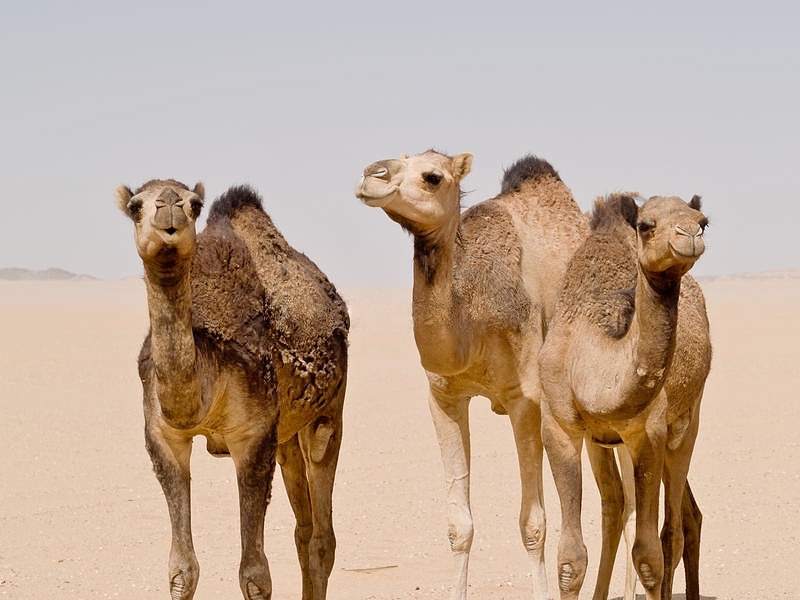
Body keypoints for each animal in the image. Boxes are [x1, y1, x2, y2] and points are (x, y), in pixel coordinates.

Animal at [116, 180, 348, 600]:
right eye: (135, 205)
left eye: (194, 204)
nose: (169, 206)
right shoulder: (163, 436)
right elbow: (181, 569)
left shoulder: (253, 438)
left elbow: (255, 574)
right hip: (285, 436)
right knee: (303, 530)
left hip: (327, 414)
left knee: (323, 536)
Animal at [355, 150, 589, 599]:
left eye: (432, 177)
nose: (372, 174)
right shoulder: (443, 397)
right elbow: (458, 526)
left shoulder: (524, 399)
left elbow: (533, 525)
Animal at [538, 193, 710, 600]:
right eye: (646, 225)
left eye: (704, 221)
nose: (689, 235)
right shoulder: (560, 427)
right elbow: (570, 559)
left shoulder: (648, 435)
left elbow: (649, 557)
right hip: (602, 442)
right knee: (620, 504)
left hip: (686, 423)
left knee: (673, 531)